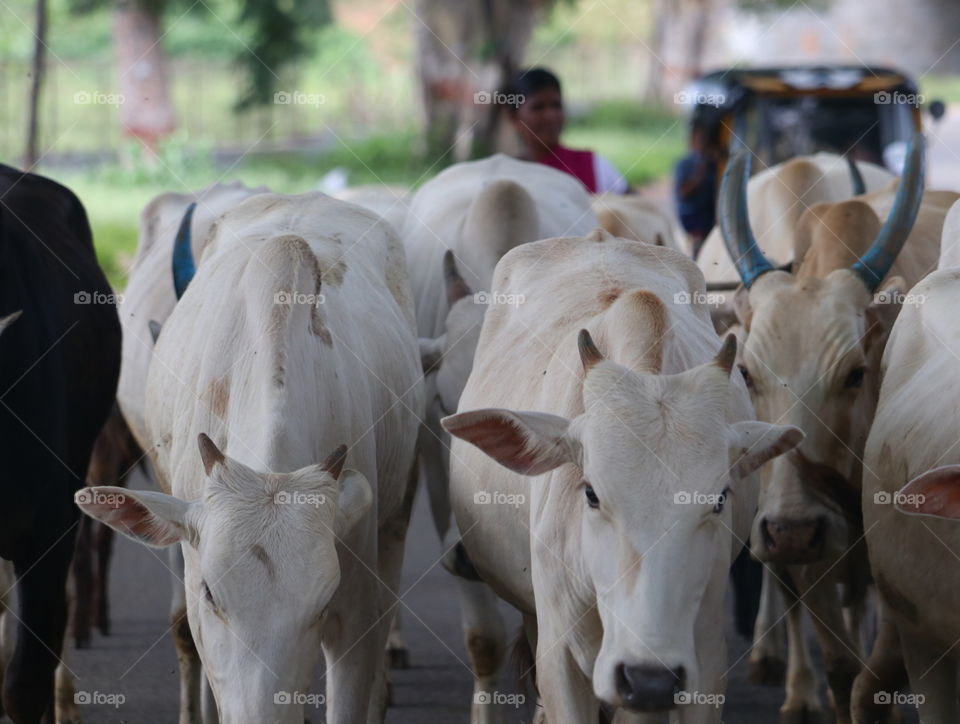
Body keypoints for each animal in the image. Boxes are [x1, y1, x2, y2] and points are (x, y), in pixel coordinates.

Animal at [717, 134, 959, 723]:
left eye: (854, 372)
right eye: (746, 372)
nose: (790, 528)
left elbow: (874, 680)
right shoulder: (810, 550)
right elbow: (842, 664)